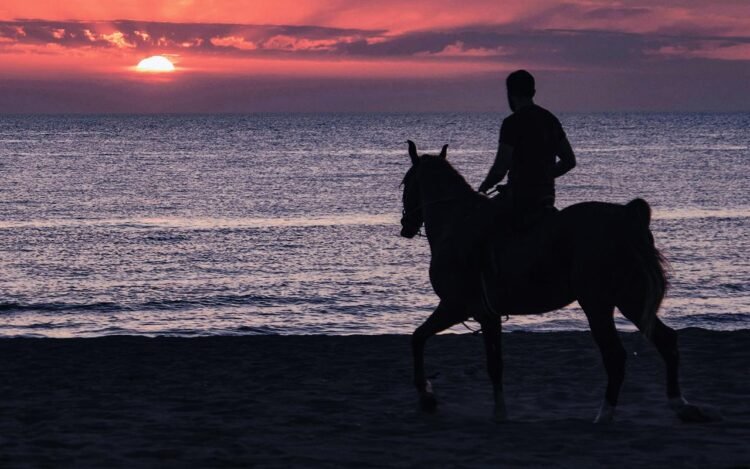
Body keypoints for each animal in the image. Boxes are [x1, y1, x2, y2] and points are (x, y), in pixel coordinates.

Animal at [399, 140, 710, 423]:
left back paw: (605, 415)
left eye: (405, 182)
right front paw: (496, 410)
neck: (455, 223)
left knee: (615, 355)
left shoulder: (458, 306)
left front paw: (428, 396)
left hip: (598, 304)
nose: (406, 226)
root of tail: (626, 217)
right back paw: (680, 405)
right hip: (630, 299)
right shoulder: (487, 315)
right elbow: (491, 362)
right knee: (665, 340)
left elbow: (421, 339)